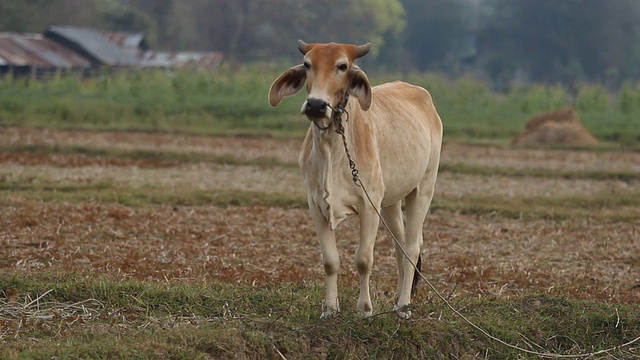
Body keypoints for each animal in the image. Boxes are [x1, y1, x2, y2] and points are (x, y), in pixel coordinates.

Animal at [268, 40, 442, 320]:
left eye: (342, 66)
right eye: (307, 64)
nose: (316, 105)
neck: (332, 147)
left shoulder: (369, 206)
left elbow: (363, 259)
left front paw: (365, 309)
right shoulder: (316, 204)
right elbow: (330, 261)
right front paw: (330, 308)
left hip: (424, 187)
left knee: (412, 246)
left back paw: (404, 306)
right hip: (390, 201)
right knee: (400, 246)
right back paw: (397, 300)